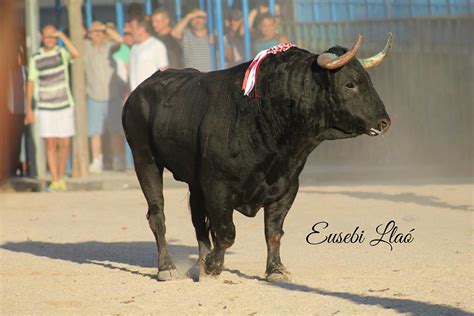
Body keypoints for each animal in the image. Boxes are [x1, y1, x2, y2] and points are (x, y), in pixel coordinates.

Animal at [122, 37, 392, 282]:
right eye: (350, 84)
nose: (384, 122)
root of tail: (139, 91)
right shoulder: (218, 186)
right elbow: (226, 233)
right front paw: (213, 266)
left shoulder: (286, 188)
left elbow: (273, 231)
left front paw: (275, 270)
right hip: (145, 160)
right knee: (158, 214)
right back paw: (167, 268)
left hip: (194, 181)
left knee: (198, 221)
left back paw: (197, 265)